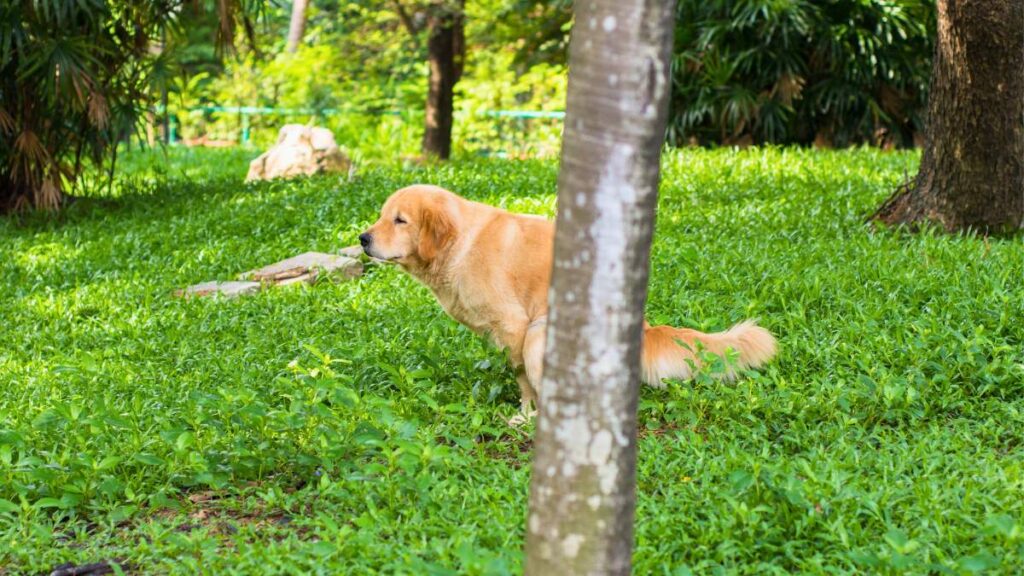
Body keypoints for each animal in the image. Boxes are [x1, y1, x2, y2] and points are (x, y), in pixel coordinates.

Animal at [360, 184, 777, 421]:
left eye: (400, 220)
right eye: (381, 216)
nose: (363, 239)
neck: (459, 244)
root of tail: (643, 329)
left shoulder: (516, 326)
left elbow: (522, 379)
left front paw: (525, 413)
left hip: (541, 334)